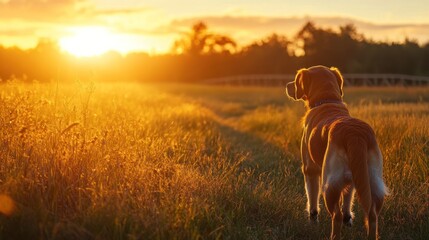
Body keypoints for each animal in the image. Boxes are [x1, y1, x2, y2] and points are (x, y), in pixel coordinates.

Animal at [284, 64, 388, 239]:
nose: (287, 85)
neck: (327, 100)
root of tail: (355, 135)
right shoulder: (352, 180)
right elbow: (348, 200)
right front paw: (349, 219)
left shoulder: (310, 169)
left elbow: (312, 201)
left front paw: (313, 222)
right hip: (374, 182)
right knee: (372, 215)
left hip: (329, 184)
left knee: (336, 215)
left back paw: (334, 235)